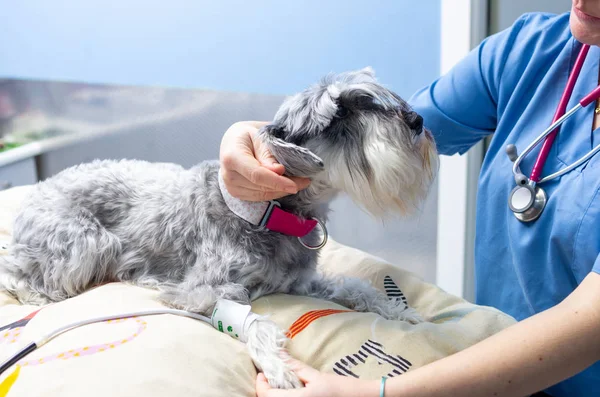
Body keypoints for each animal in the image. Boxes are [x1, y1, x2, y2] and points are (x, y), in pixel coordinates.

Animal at [2, 67, 438, 386]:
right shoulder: (200, 291)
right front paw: (279, 368)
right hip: (88, 246)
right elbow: (253, 321)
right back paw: (38, 297)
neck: (267, 212)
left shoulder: (299, 282)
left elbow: (355, 286)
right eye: (342, 112)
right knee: (16, 273)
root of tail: (38, 190)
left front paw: (400, 311)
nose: (417, 120)